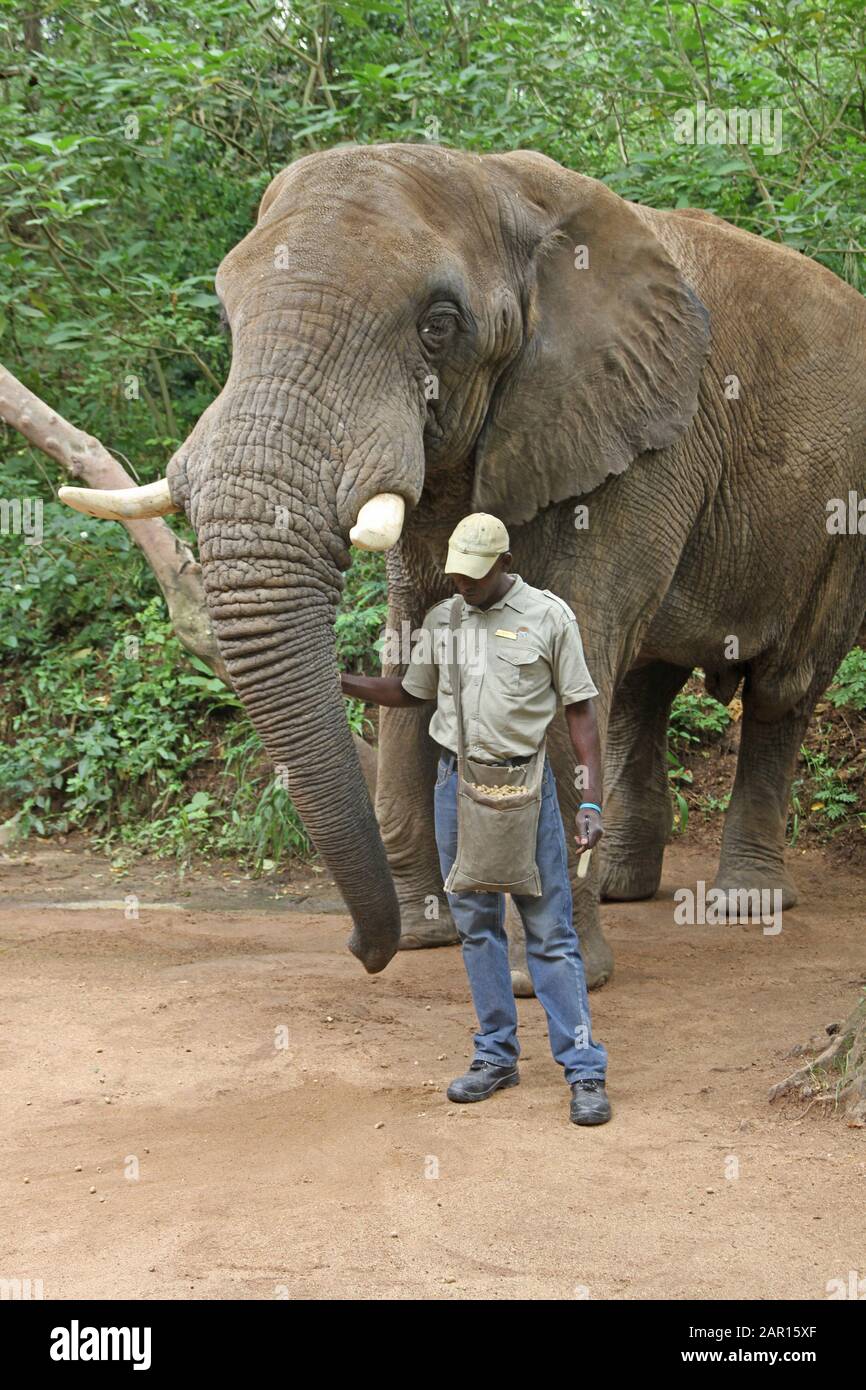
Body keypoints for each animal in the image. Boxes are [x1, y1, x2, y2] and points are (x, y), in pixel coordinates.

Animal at [61, 142, 866, 987]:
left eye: (438, 325)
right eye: (225, 316)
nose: (362, 951)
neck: (503, 183)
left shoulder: (642, 439)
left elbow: (575, 637)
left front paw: (543, 976)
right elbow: (418, 643)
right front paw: (425, 937)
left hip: (843, 516)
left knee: (781, 690)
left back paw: (743, 903)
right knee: (642, 686)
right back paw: (620, 886)